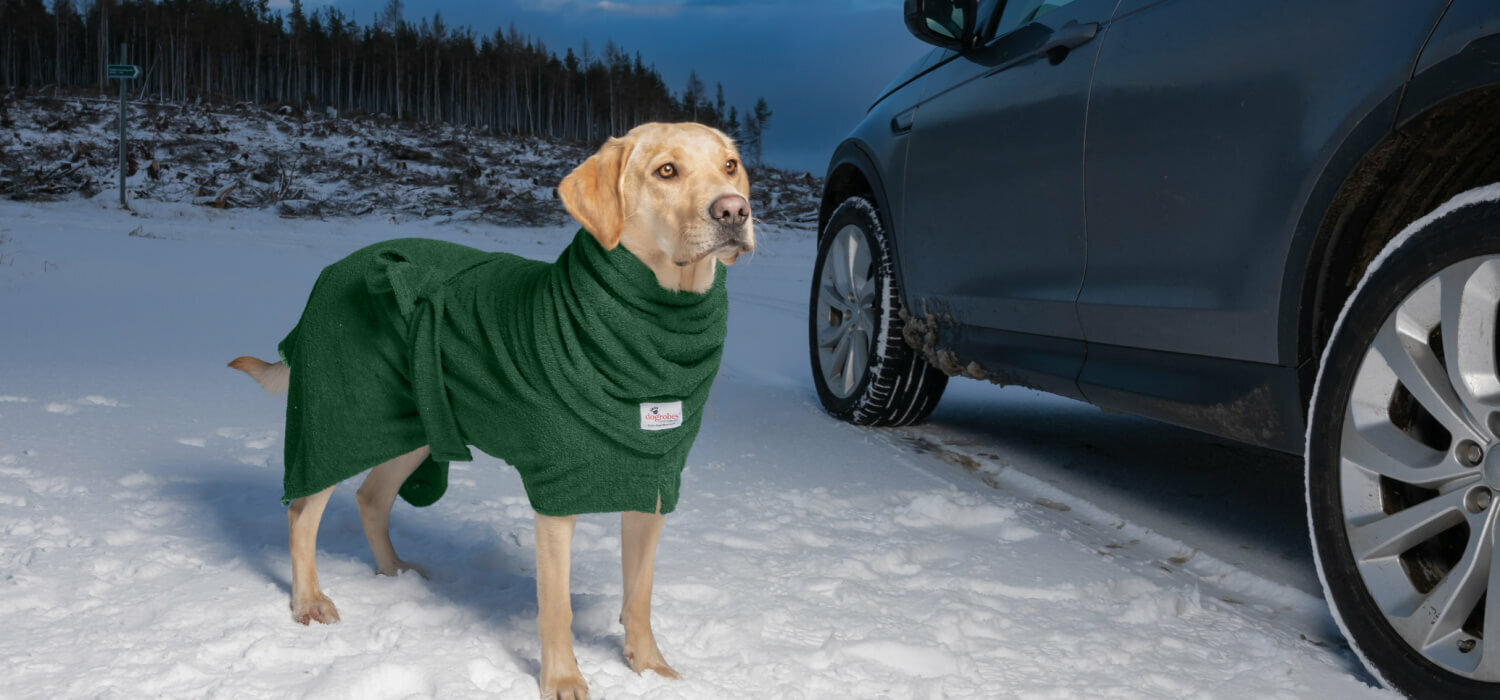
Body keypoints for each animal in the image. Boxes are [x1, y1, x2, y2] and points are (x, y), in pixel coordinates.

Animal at [231, 123, 750, 698]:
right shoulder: (556, 496)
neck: (656, 321)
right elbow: (557, 607)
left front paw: (652, 670)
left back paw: (394, 574)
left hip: (416, 423)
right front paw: (563, 679)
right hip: (340, 418)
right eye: (666, 171)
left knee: (371, 497)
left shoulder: (654, 484)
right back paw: (308, 601)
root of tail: (333, 272)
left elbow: (640, 595)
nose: (734, 210)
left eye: (729, 166)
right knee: (303, 509)